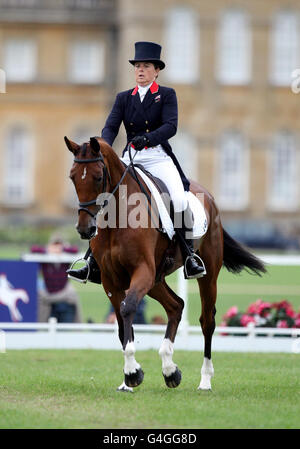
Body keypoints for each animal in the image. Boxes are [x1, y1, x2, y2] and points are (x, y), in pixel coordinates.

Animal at [64, 135, 266, 390]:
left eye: (98, 177)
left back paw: (205, 379)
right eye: (72, 177)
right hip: (156, 280)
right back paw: (170, 370)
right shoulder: (112, 280)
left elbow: (128, 309)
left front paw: (132, 372)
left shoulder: (142, 270)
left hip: (205, 275)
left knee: (207, 321)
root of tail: (208, 196)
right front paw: (129, 378)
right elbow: (121, 323)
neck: (119, 216)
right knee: (176, 306)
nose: (85, 229)